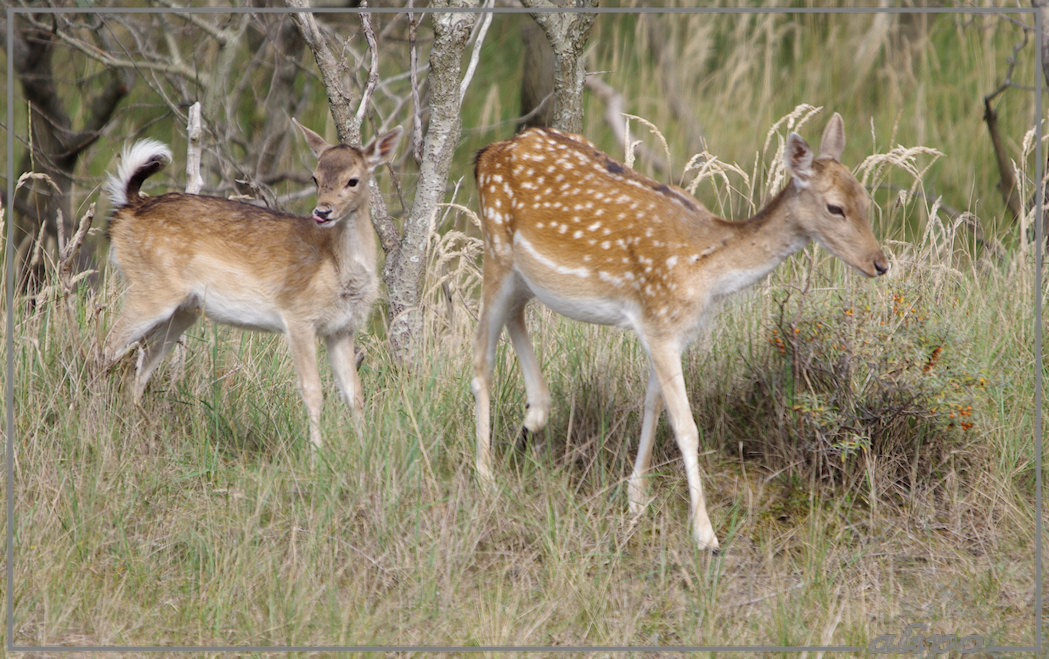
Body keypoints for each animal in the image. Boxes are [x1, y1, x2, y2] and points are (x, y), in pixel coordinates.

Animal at [103, 119, 400, 447]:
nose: (322, 212)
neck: (336, 268)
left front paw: (364, 448)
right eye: (315, 176)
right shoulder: (298, 317)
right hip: (150, 288)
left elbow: (354, 393)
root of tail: (128, 207)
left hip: (182, 310)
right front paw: (316, 452)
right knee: (107, 346)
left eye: (353, 180)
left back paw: (137, 427)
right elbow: (312, 391)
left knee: (139, 363)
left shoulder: (342, 329)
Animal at [472, 114, 889, 549]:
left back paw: (533, 418)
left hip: (526, 275)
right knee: (481, 359)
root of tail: (488, 153)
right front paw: (705, 535)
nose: (880, 263)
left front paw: (636, 500)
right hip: (495, 248)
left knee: (516, 315)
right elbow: (686, 428)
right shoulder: (660, 325)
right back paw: (485, 478)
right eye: (835, 207)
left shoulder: (670, 331)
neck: (707, 271)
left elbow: (653, 407)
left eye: (865, 199)